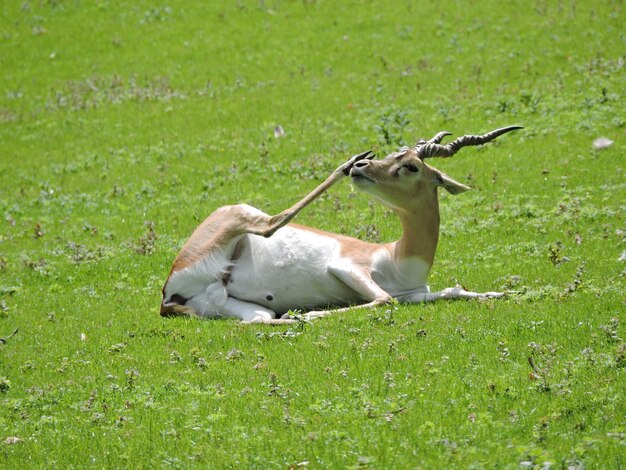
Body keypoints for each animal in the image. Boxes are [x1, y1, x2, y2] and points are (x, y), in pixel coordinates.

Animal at [158, 125, 520, 324]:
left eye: (411, 166)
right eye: (395, 155)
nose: (362, 168)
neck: (396, 258)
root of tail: (166, 296)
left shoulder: (414, 294)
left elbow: (450, 290)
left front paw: (504, 292)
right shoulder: (347, 267)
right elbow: (384, 300)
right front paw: (315, 313)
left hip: (235, 304)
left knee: (258, 320)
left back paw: (291, 320)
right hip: (241, 213)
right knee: (272, 224)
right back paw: (345, 162)